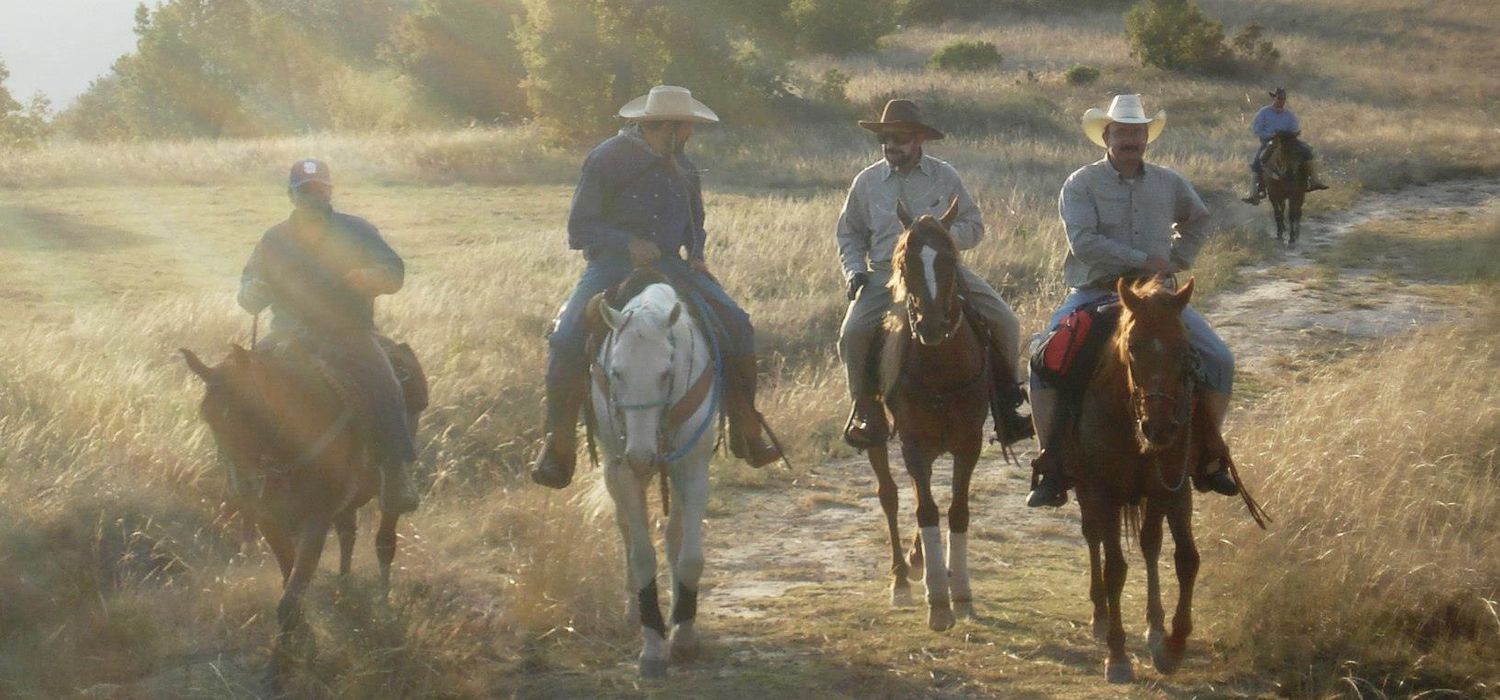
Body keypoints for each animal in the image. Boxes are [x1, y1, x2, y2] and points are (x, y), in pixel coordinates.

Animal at [591, 280, 720, 680]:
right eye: (616, 373)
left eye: (666, 373)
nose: (641, 455)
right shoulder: (624, 473)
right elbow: (643, 556)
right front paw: (651, 647)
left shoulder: (693, 468)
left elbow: (690, 556)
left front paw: (684, 636)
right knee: (626, 531)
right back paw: (634, 612)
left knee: (674, 536)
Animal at [864, 196, 990, 629]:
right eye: (906, 262)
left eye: (949, 259)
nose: (931, 326)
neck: (941, 365)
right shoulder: (913, 443)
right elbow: (926, 508)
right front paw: (938, 601)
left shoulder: (968, 441)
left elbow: (957, 511)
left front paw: (963, 595)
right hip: (879, 436)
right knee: (889, 495)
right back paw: (902, 580)